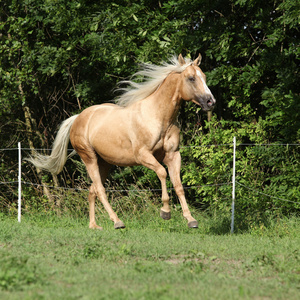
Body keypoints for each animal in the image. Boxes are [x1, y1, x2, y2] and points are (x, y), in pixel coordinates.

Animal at [27, 54, 216, 229]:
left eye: (204, 76)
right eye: (191, 78)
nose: (210, 102)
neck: (159, 118)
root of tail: (78, 117)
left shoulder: (173, 155)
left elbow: (178, 185)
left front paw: (191, 219)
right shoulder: (143, 155)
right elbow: (162, 173)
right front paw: (165, 212)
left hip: (104, 163)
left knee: (92, 190)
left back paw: (94, 225)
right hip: (89, 158)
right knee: (100, 190)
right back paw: (117, 221)